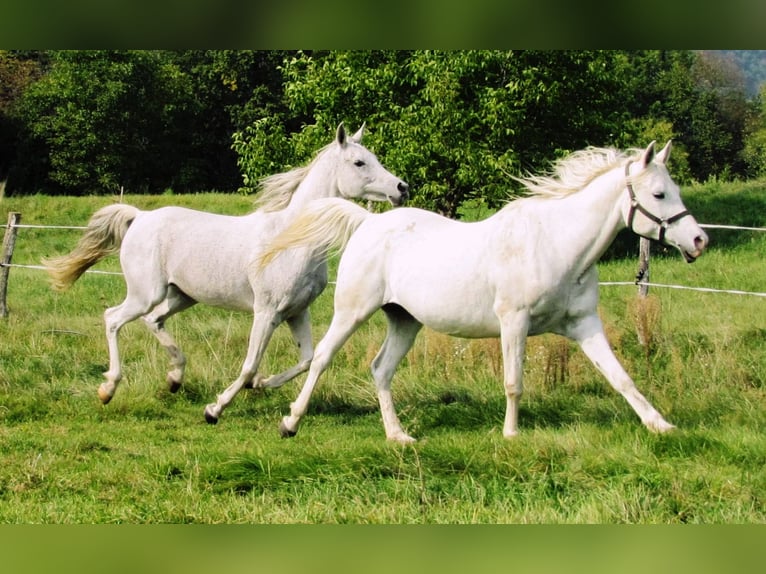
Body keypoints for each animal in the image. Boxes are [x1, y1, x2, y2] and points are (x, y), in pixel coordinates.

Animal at [44, 125, 412, 424]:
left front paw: (261, 385)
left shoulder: (297, 312)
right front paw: (214, 409)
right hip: (145, 294)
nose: (401, 188)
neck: (293, 239)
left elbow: (306, 360)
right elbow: (250, 364)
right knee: (113, 318)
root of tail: (140, 217)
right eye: (359, 163)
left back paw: (174, 378)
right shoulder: (266, 312)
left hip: (181, 296)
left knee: (154, 321)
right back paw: (108, 388)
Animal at [262, 141, 708, 446]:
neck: (556, 244)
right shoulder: (514, 321)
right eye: (658, 194)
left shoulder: (584, 326)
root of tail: (367, 223)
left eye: (674, 189)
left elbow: (621, 377)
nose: (699, 241)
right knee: (321, 358)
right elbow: (514, 382)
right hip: (352, 311)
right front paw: (511, 434)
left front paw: (660, 425)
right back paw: (290, 422)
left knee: (381, 370)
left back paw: (398, 436)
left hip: (405, 321)